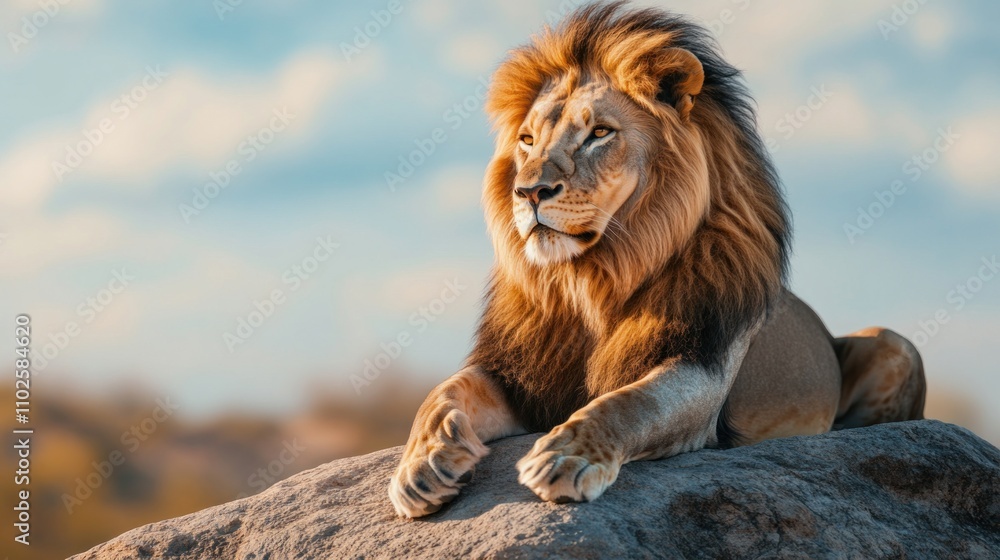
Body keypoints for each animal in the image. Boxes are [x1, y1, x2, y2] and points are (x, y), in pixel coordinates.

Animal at [388, 2, 926, 518]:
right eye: (527, 140)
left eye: (599, 133)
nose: (528, 191)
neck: (592, 280)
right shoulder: (520, 376)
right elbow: (441, 394)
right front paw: (421, 467)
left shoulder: (700, 366)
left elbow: (631, 403)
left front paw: (566, 457)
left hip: (893, 342)